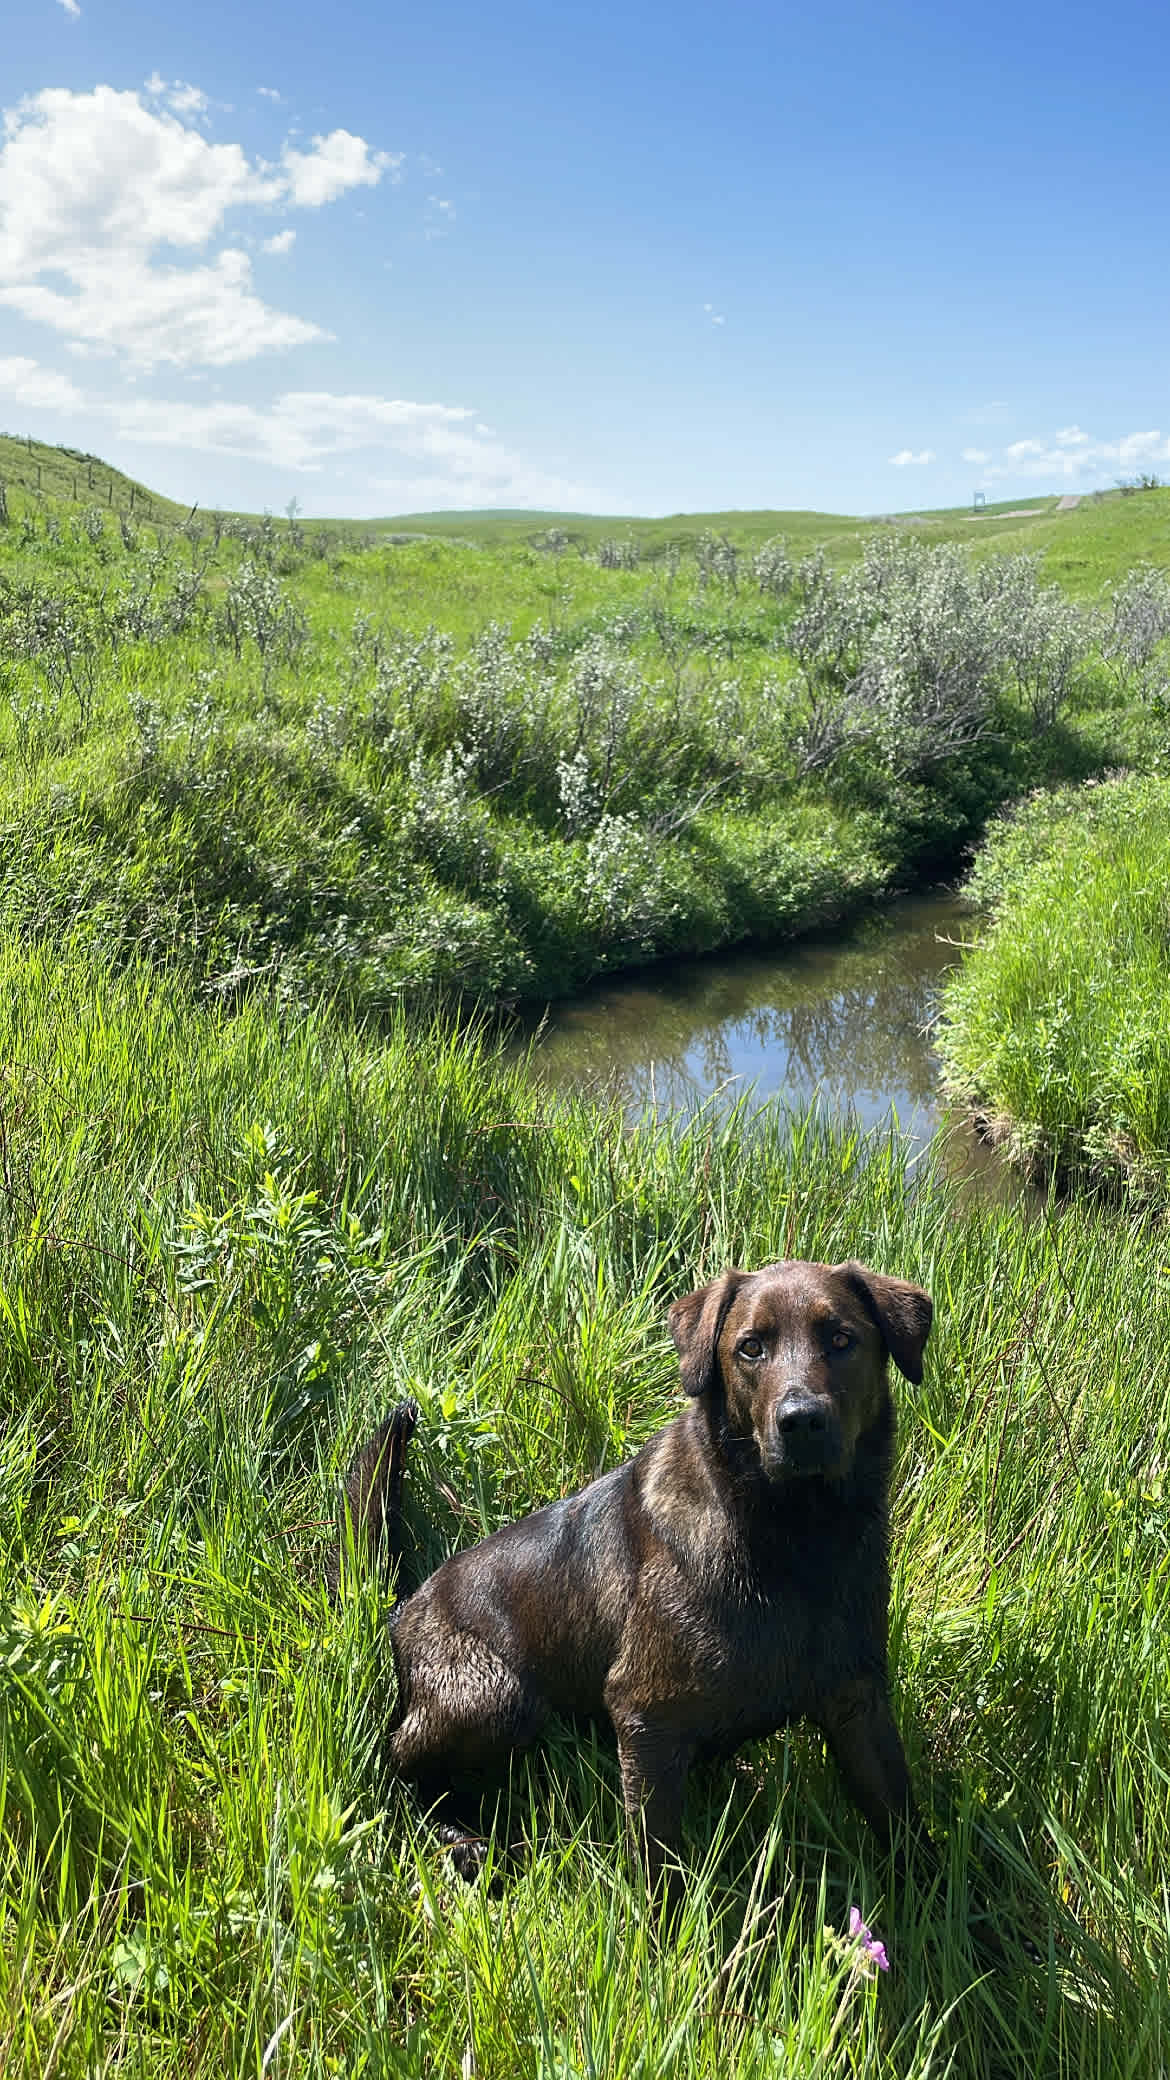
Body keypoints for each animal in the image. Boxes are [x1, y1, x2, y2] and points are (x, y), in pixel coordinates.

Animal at [331, 1248, 928, 1888]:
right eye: (750, 1347)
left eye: (841, 1339)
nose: (801, 1421)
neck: (795, 1538)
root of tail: (405, 1608)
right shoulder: (646, 1714)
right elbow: (658, 1861)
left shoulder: (858, 1701)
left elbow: (902, 1821)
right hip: (495, 1699)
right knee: (400, 1770)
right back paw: (460, 1841)